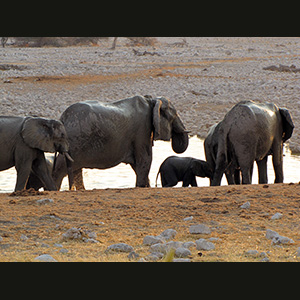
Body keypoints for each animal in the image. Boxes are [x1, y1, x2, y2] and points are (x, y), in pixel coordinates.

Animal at [52, 95, 189, 189]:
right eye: (174, 115)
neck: (151, 100)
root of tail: (63, 118)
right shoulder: (142, 130)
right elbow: (145, 159)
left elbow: (138, 164)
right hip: (74, 140)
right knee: (63, 167)